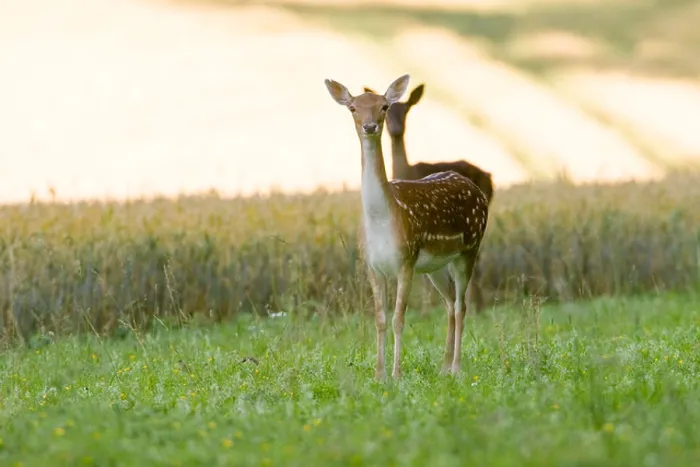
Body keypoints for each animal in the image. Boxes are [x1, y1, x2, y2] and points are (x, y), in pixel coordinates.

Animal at [363, 83, 494, 314]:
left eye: (406, 110)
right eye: (389, 113)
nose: (396, 129)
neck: (406, 171)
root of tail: (490, 177)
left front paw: (426, 307)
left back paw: (474, 305)